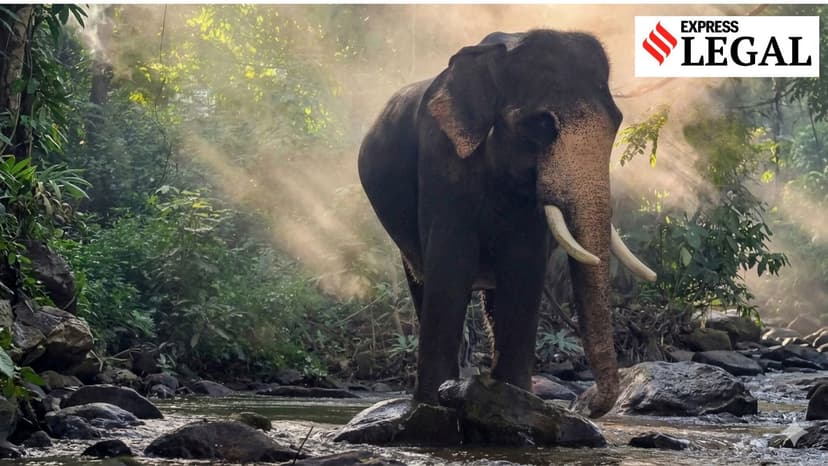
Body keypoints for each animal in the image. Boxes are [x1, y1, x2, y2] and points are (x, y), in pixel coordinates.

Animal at [358, 29, 656, 418]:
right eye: (542, 123)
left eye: (617, 120)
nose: (583, 404)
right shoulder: (442, 161)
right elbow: (450, 266)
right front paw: (432, 406)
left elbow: (523, 268)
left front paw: (514, 402)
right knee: (422, 279)